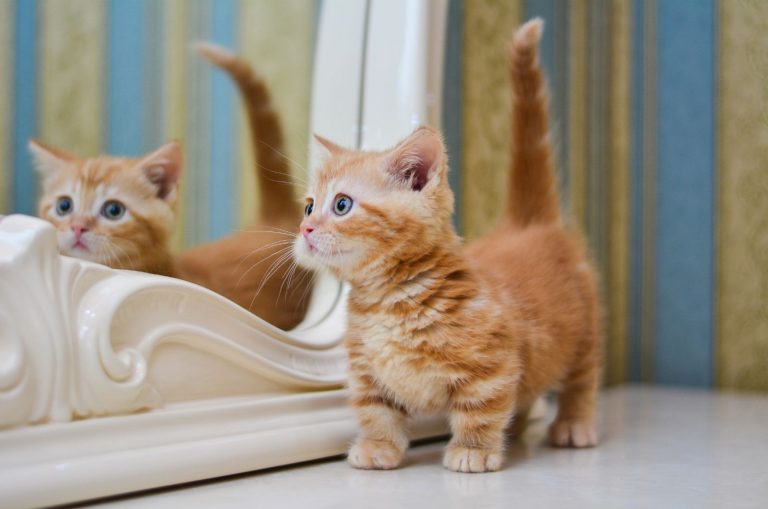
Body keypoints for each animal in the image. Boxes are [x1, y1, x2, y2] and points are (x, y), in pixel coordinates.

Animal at [294, 19, 600, 472]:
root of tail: (527, 223)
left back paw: (573, 424)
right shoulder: (367, 372)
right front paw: (378, 446)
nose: (305, 229)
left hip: (584, 332)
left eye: (342, 204)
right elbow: (375, 410)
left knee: (581, 379)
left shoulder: (492, 366)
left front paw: (474, 450)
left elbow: (481, 409)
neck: (386, 301)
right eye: (309, 205)